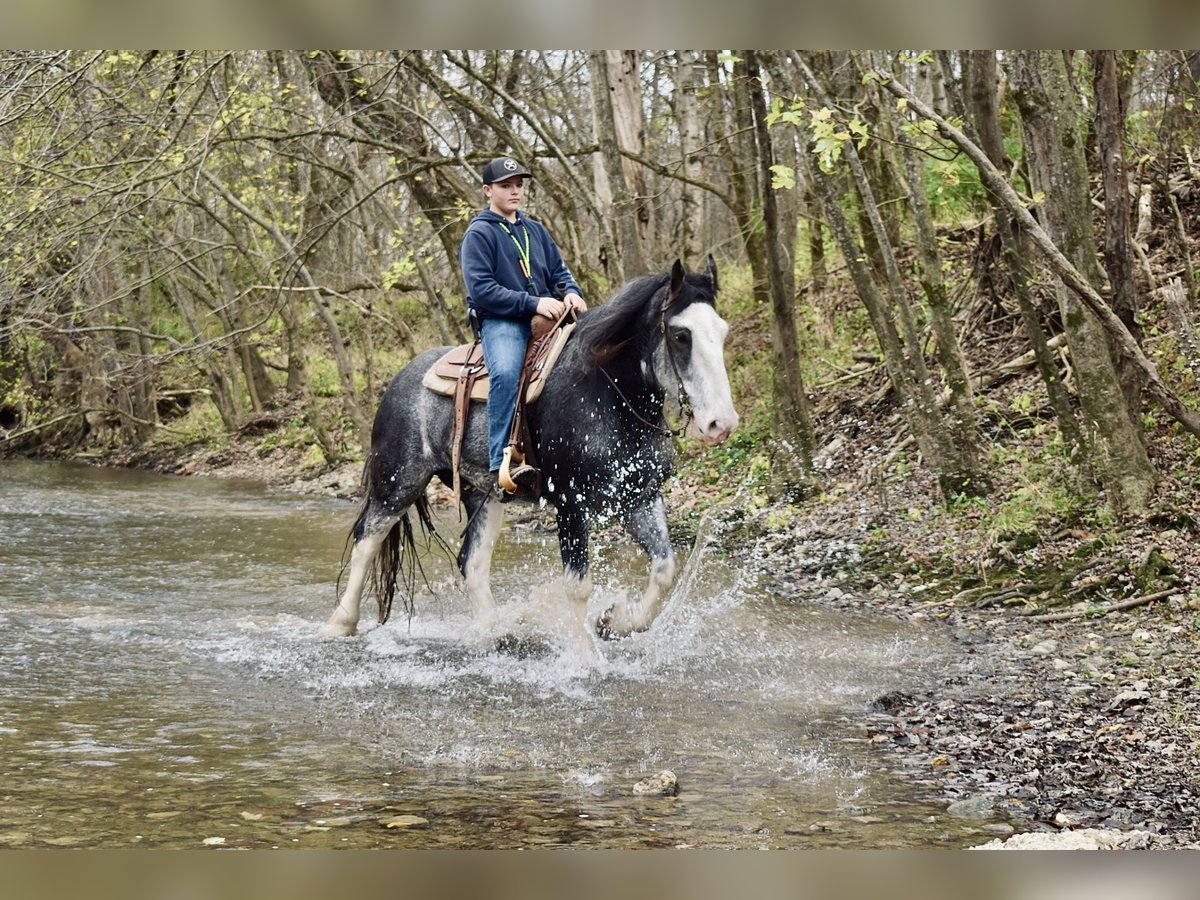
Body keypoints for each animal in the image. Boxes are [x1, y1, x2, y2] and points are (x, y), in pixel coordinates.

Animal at [314, 256, 734, 657]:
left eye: (723, 332)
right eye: (681, 335)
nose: (721, 424)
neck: (608, 395)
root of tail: (401, 379)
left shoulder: (639, 497)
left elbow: (665, 569)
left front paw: (614, 623)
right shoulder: (570, 503)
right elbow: (578, 585)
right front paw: (585, 659)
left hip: (483, 494)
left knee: (472, 562)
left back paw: (493, 632)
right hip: (398, 482)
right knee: (367, 539)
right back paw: (340, 624)